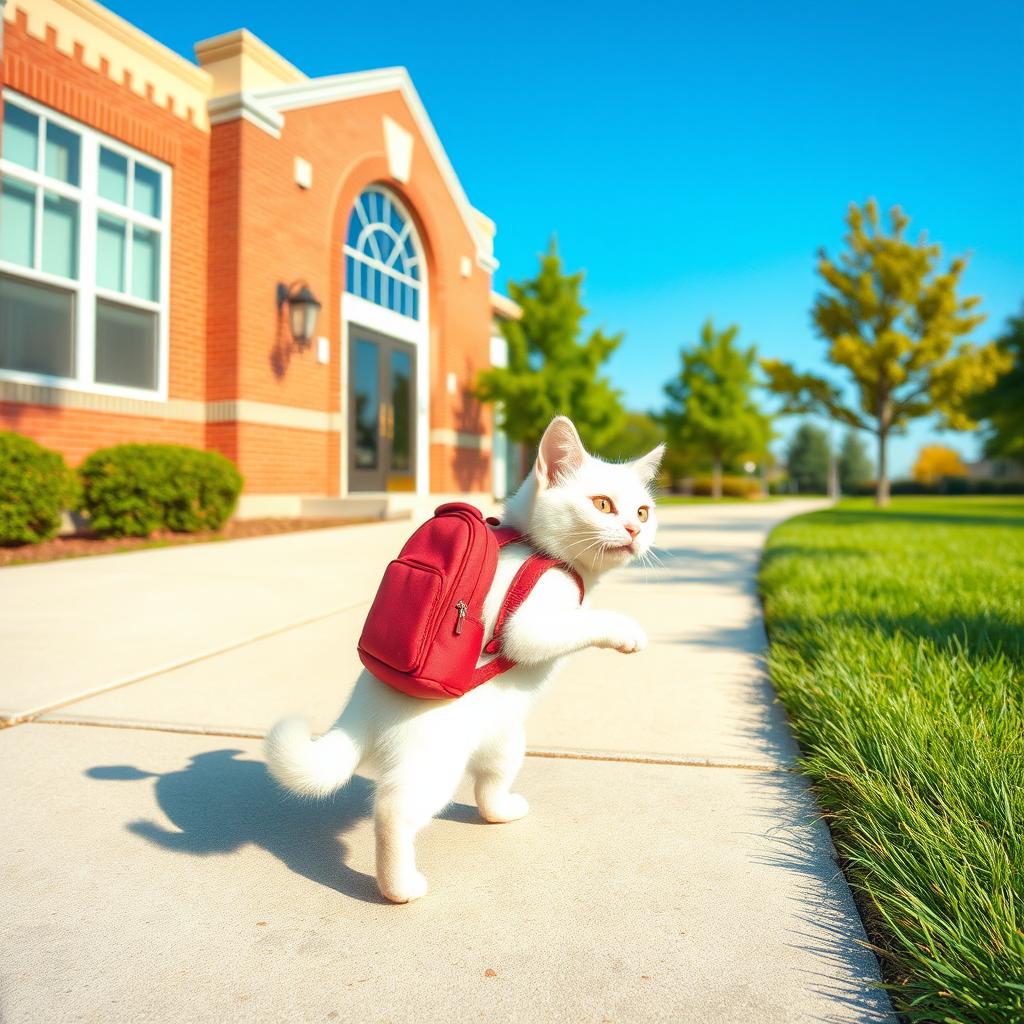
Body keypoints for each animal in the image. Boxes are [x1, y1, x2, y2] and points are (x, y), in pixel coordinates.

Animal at [264, 415, 663, 905]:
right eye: (603, 504)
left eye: (642, 512)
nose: (634, 531)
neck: (541, 550)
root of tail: (365, 705)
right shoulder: (526, 627)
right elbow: (579, 622)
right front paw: (626, 631)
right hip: (435, 761)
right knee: (394, 810)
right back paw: (400, 887)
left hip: (505, 738)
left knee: (490, 783)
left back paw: (501, 811)